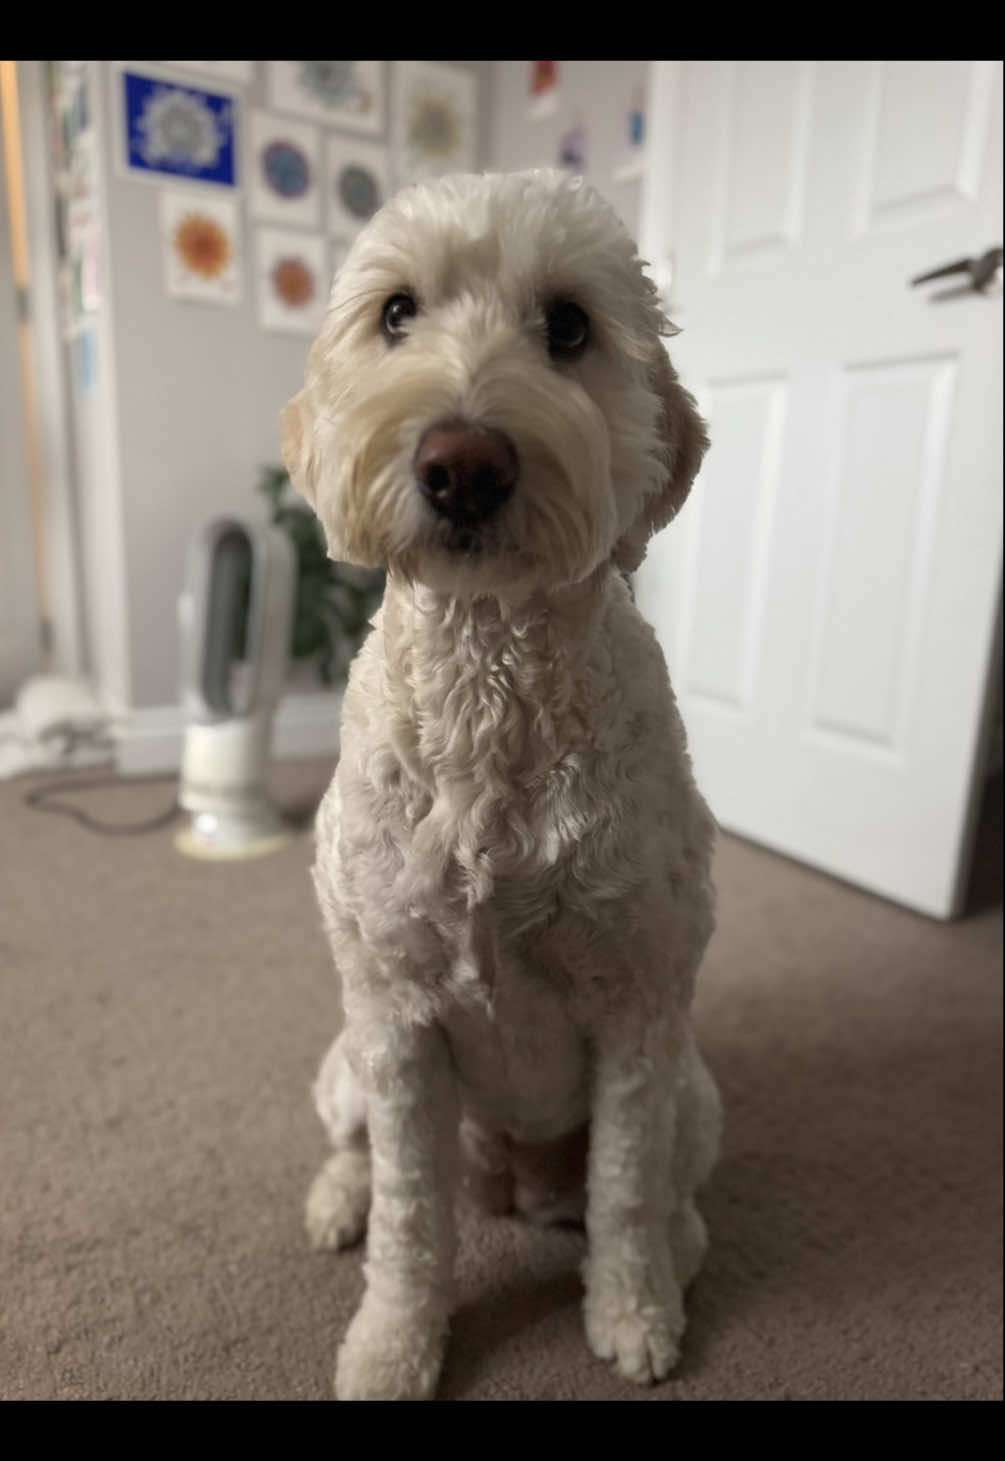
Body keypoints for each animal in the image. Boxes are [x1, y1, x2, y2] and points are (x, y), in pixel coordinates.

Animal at [280, 165, 721, 1396]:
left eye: (568, 326)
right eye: (395, 313)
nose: (462, 462)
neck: (487, 677)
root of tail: (514, 1178)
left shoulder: (638, 1014)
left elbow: (625, 1188)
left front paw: (631, 1309)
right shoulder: (393, 1023)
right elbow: (410, 1219)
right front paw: (392, 1345)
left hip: (697, 1091)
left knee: (663, 1189)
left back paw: (669, 1247)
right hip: (348, 1056)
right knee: (358, 1151)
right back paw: (336, 1200)